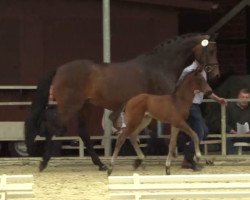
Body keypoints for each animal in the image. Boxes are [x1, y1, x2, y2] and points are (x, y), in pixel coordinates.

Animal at [24, 32, 221, 172]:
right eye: (210, 51)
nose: (215, 74)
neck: (160, 65)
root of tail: (59, 69)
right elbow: (157, 135)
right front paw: (143, 159)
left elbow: (154, 134)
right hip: (69, 107)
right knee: (52, 127)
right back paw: (44, 163)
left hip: (84, 107)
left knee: (83, 133)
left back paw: (100, 164)